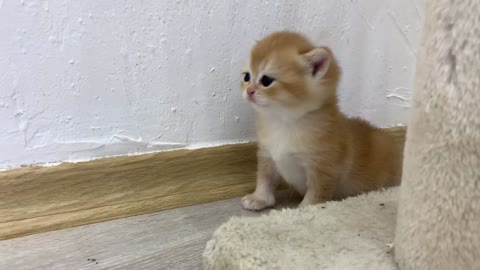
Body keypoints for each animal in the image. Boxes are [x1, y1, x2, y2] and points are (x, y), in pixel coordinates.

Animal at [239, 30, 402, 210]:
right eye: (247, 77)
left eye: (266, 80)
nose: (249, 90)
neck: (284, 121)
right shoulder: (267, 155)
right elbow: (265, 178)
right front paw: (259, 198)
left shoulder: (322, 166)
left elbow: (317, 192)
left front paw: (305, 209)